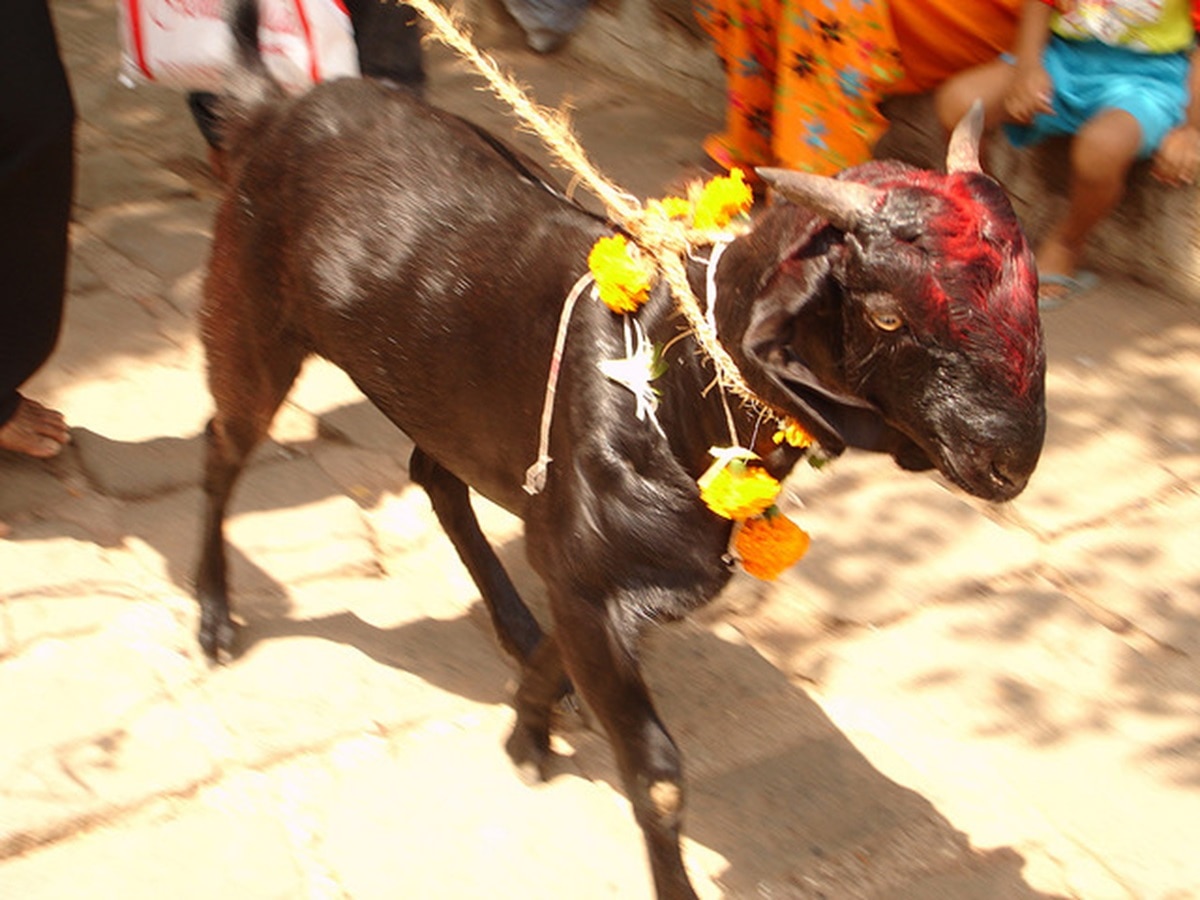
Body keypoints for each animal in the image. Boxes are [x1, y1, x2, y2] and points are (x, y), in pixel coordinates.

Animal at [194, 17, 1041, 897]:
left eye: (1032, 290)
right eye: (883, 315)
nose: (1010, 458)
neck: (674, 388)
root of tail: (276, 110)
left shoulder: (588, 581)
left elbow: (559, 661)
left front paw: (528, 728)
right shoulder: (588, 576)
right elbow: (658, 778)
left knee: (433, 475)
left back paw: (511, 625)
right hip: (249, 323)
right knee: (223, 445)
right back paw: (215, 616)